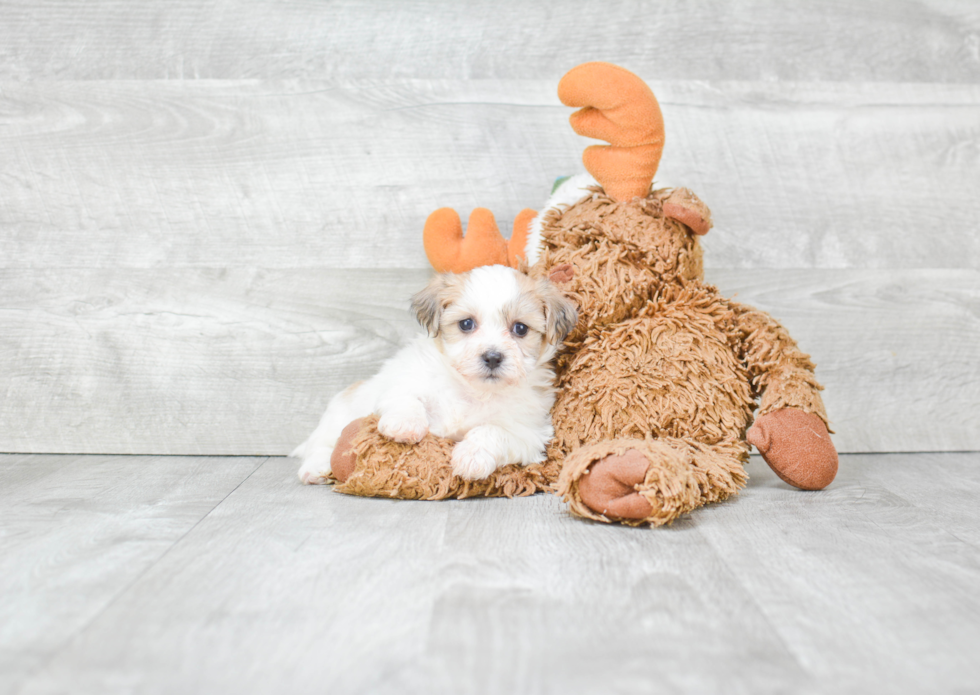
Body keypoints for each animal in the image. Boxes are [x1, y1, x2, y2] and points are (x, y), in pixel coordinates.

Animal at [294, 264, 580, 486]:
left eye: (520, 329)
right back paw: (316, 468)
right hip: (339, 415)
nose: (492, 357)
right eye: (466, 324)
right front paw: (405, 425)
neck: (473, 391)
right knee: (321, 443)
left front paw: (471, 457)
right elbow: (405, 397)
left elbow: (492, 431)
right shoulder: (402, 379)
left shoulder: (529, 433)